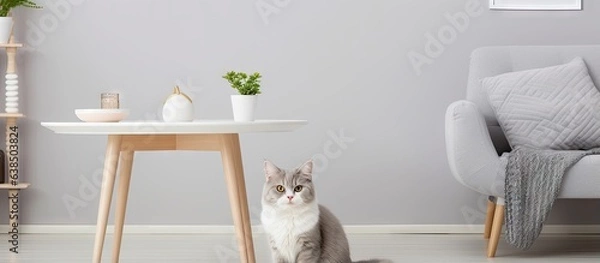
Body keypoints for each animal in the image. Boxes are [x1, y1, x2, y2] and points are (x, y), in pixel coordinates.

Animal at [260, 160, 392, 263]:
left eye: (298, 188)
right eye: (280, 188)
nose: (290, 197)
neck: (288, 217)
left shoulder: (309, 247)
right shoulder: (277, 250)